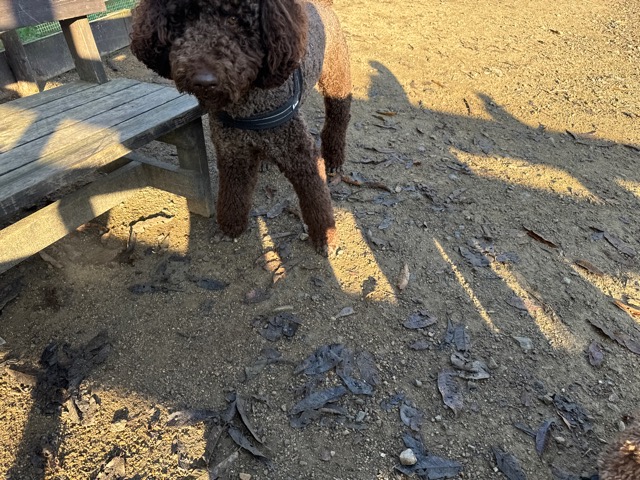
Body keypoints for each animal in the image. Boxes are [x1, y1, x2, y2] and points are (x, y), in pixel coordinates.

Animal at [130, 0, 351, 254]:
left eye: (235, 20)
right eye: (184, 18)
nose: (203, 80)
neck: (246, 106)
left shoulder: (300, 154)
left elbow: (316, 197)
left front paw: (326, 236)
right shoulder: (233, 152)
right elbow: (233, 193)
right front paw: (230, 228)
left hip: (337, 79)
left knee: (338, 118)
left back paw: (334, 160)